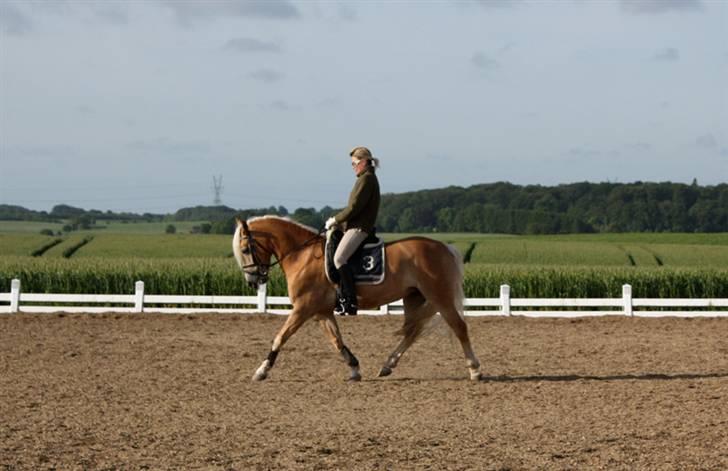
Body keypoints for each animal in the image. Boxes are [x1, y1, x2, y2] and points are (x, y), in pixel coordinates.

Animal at [235, 218, 484, 384]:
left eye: (246, 249)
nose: (253, 280)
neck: (302, 255)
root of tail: (445, 247)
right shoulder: (321, 312)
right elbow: (336, 340)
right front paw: (354, 369)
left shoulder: (303, 308)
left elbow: (280, 337)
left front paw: (262, 370)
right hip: (414, 298)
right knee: (412, 332)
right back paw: (387, 366)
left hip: (440, 297)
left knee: (459, 327)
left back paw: (475, 370)